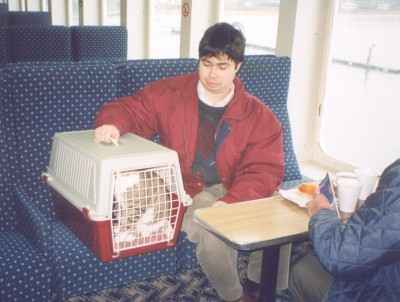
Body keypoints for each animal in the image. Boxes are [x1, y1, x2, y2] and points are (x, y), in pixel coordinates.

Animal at [43, 130, 192, 262]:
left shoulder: (136, 207)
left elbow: (129, 223)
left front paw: (121, 234)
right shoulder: (122, 206)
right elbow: (124, 221)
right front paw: (119, 230)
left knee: (139, 231)